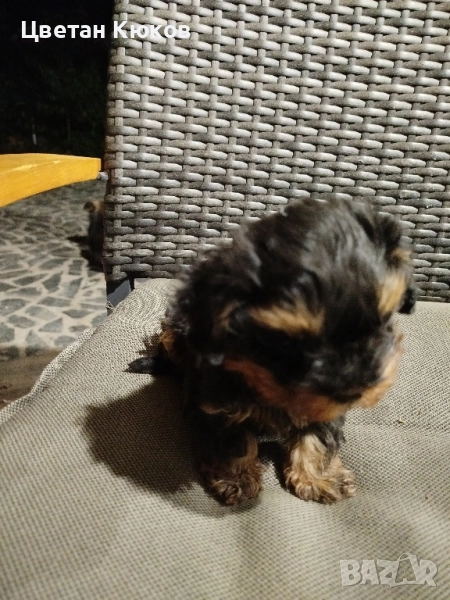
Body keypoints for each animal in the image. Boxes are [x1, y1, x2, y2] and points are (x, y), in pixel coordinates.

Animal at [129, 198, 416, 506]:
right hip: (174, 334)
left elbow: (319, 433)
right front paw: (236, 479)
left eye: (382, 320)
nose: (355, 389)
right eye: (288, 343)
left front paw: (319, 477)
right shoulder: (218, 400)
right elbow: (233, 441)